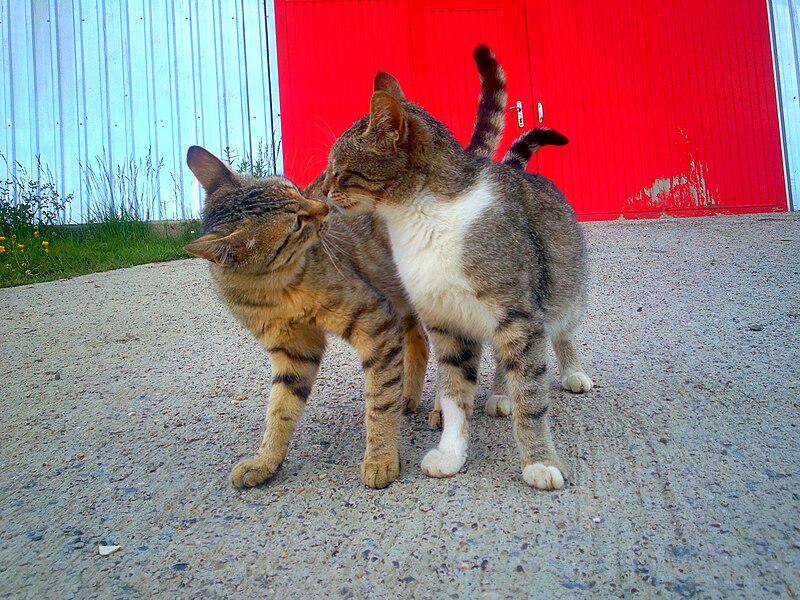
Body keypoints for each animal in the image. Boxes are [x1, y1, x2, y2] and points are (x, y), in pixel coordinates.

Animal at [183, 45, 506, 488]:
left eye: (293, 188)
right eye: (295, 224)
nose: (322, 206)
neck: (279, 289)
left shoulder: (374, 320)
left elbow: (378, 401)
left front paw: (381, 457)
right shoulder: (294, 352)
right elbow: (279, 411)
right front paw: (266, 461)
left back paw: (440, 407)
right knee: (420, 340)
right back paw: (412, 395)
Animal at [322, 58, 592, 492]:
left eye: (342, 171)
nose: (323, 192)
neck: (422, 218)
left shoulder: (519, 316)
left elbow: (531, 396)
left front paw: (539, 461)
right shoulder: (447, 324)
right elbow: (453, 396)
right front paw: (450, 453)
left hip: (563, 290)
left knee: (561, 333)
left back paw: (572, 373)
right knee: (502, 360)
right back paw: (500, 394)